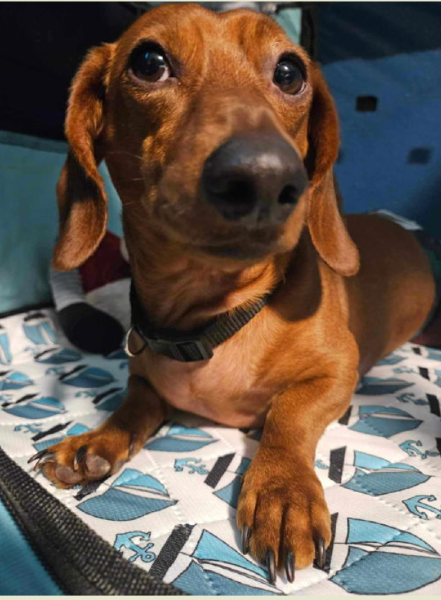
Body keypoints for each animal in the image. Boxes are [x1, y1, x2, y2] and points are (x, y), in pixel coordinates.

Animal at [31, 4, 436, 584]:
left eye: (290, 71)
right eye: (148, 61)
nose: (264, 177)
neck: (212, 317)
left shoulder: (338, 371)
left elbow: (288, 414)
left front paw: (282, 490)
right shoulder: (145, 377)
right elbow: (134, 402)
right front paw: (98, 440)